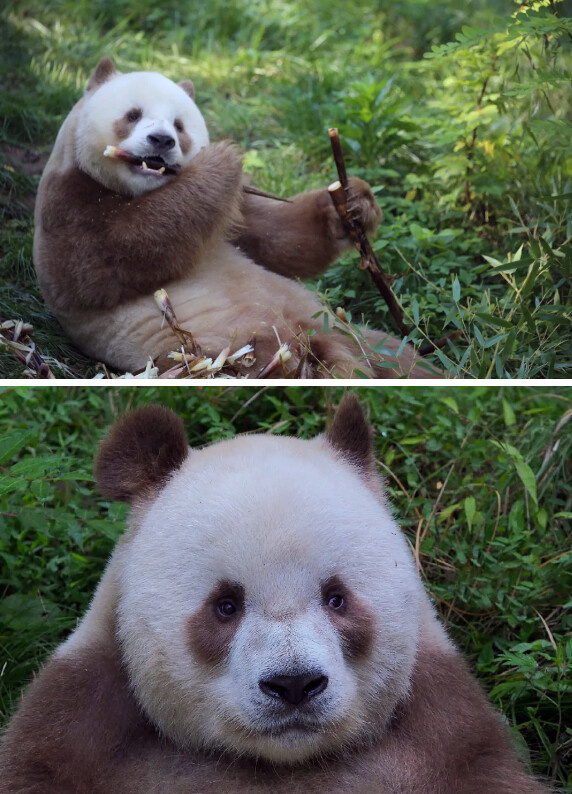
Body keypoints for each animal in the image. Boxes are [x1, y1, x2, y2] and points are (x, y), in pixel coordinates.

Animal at [0, 397, 549, 793]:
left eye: (336, 598)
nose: (294, 684)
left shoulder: (446, 740)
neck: (280, 764)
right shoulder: (78, 731)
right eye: (225, 606)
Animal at [33, 57, 438, 378]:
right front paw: (222, 160)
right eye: (133, 115)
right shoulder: (67, 203)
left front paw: (353, 203)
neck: (143, 190)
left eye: (179, 125)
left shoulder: (235, 211)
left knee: (398, 356)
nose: (162, 141)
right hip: (225, 349)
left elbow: (278, 242)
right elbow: (111, 257)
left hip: (336, 325)